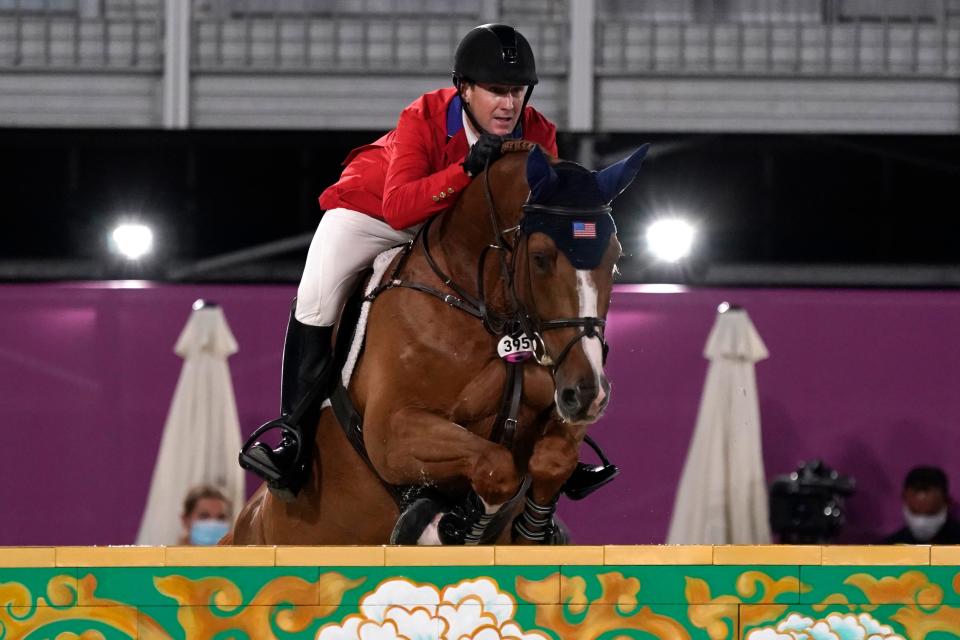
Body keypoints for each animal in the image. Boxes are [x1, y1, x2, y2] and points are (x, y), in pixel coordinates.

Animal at [227, 140, 644, 544]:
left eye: (615, 257)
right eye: (541, 257)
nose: (587, 393)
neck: (487, 311)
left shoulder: (557, 403)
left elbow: (552, 459)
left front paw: (532, 530)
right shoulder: (391, 433)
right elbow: (496, 467)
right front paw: (454, 525)